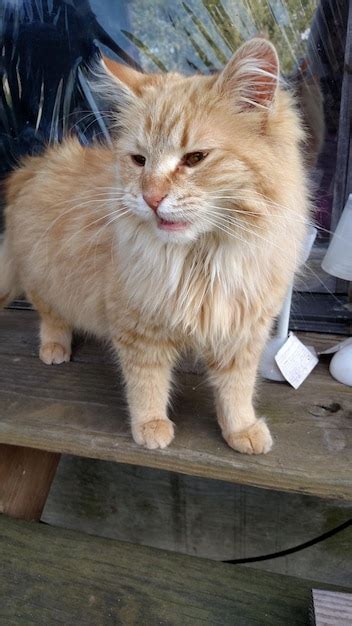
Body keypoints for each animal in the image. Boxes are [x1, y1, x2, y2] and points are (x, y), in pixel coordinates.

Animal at [0, 39, 308, 454]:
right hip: (44, 278)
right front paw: (151, 427)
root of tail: (35, 164)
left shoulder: (241, 332)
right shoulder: (137, 328)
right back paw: (55, 349)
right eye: (139, 160)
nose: (151, 198)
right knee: (51, 317)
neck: (202, 259)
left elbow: (236, 390)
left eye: (195, 158)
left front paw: (240, 430)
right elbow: (147, 384)